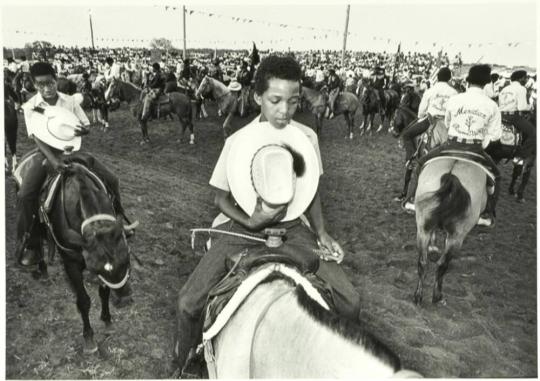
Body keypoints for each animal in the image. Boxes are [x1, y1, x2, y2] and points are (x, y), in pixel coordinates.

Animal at [15, 154, 133, 354]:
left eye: (127, 261)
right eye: (97, 269)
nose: (125, 299)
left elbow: (104, 292)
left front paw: (107, 320)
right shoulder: (71, 263)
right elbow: (83, 301)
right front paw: (89, 338)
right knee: (35, 238)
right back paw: (39, 264)